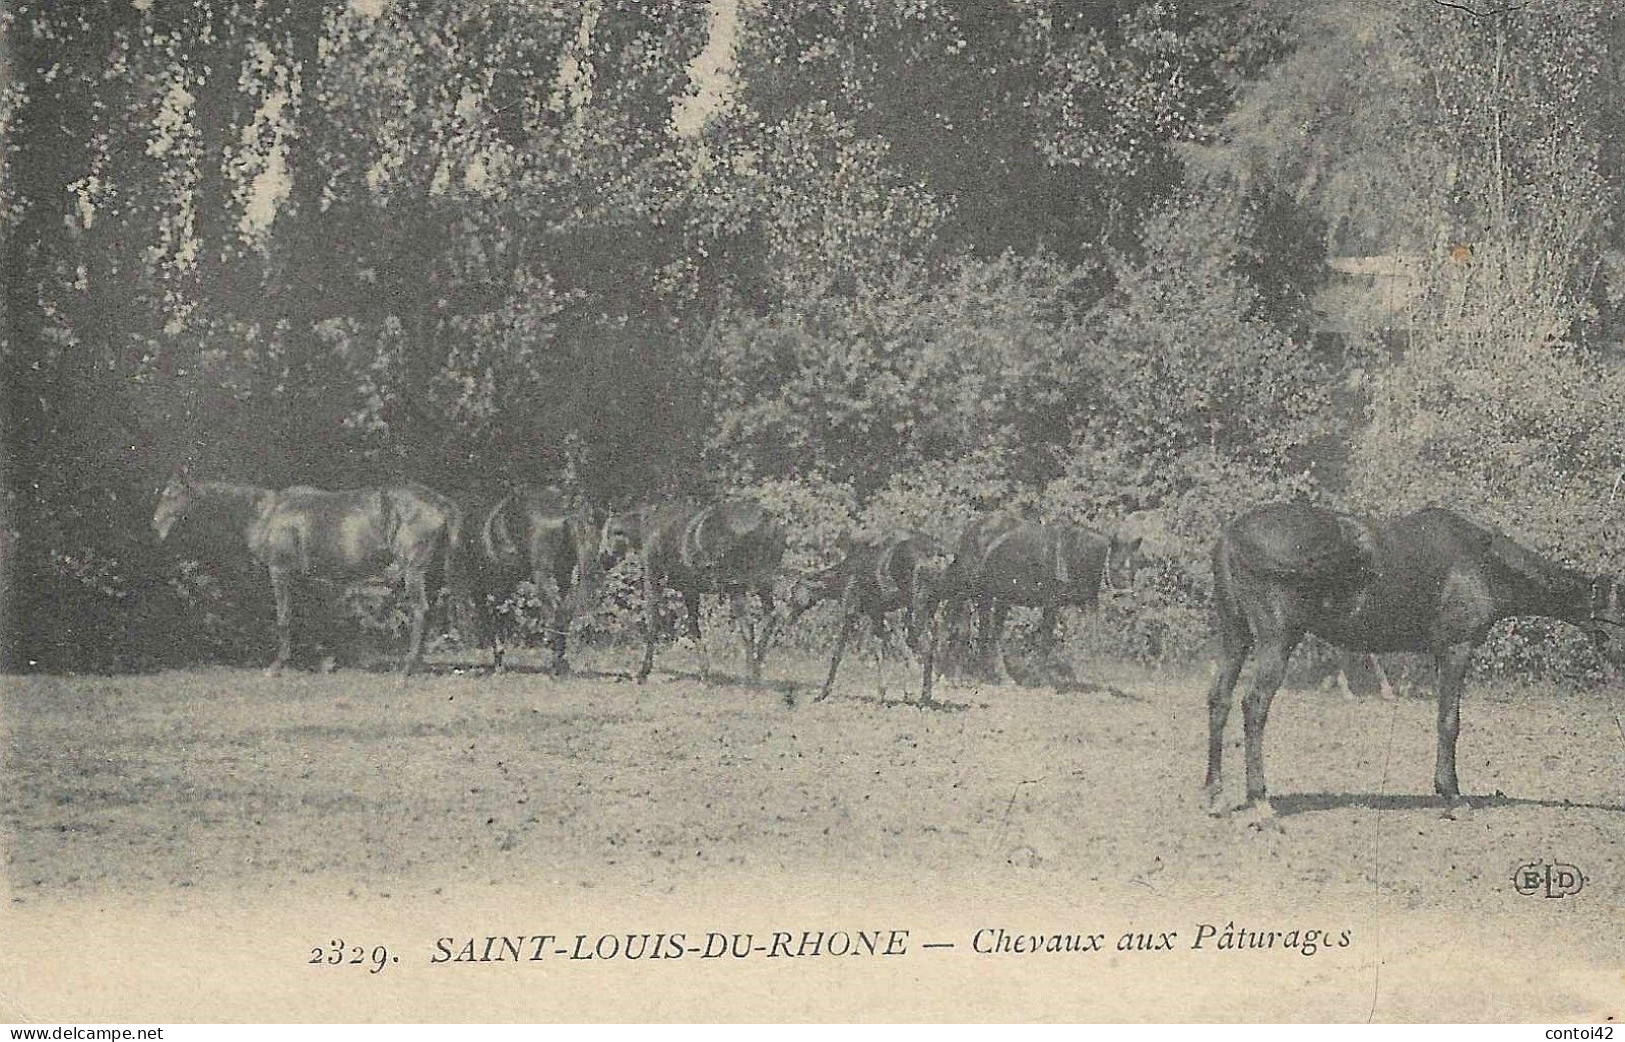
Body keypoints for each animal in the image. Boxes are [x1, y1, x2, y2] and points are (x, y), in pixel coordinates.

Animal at [464, 484, 604, 676]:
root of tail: (569, 506)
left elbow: (495, 618)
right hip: (566, 575)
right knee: (565, 611)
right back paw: (561, 662)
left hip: (542, 574)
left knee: (555, 610)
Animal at [598, 497, 786, 682]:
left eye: (606, 533)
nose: (602, 559)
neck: (644, 528)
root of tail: (769, 521)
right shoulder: (690, 590)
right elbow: (693, 627)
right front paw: (704, 672)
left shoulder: (653, 579)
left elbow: (653, 621)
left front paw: (643, 671)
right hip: (762, 583)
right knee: (770, 617)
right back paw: (756, 667)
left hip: (737, 585)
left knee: (750, 625)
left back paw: (750, 676)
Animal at [780, 533, 949, 702]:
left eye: (793, 592)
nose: (788, 620)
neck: (842, 576)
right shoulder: (876, 614)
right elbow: (885, 652)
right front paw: (887, 692)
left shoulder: (852, 611)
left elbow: (838, 653)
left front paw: (823, 693)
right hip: (926, 611)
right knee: (928, 646)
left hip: (917, 610)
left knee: (924, 648)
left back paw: (924, 697)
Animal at [936, 513, 1150, 682]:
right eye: (1116, 566)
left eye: (1135, 567)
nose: (1127, 604)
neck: (1070, 555)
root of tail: (972, 529)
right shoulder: (1051, 604)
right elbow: (1046, 641)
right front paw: (1042, 676)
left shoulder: (1088, 604)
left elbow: (1093, 639)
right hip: (972, 591)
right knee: (955, 623)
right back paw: (952, 671)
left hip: (996, 597)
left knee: (988, 632)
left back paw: (993, 673)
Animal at [1202, 503, 1625, 819]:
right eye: (1620, 615)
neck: (1483, 561)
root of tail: (1231, 536)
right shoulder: (1456, 648)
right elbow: (1449, 722)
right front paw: (1453, 797)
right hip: (1276, 640)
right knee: (1254, 706)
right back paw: (1260, 801)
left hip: (1235, 636)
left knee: (1219, 700)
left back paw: (1215, 796)